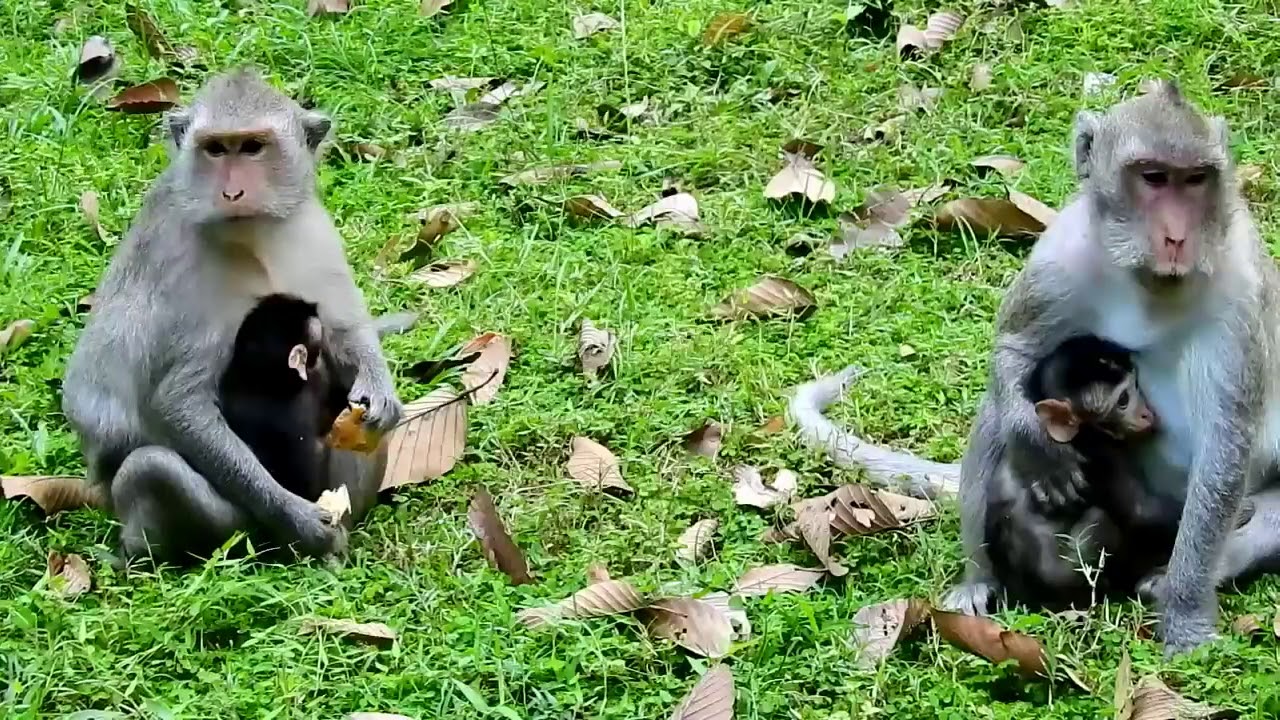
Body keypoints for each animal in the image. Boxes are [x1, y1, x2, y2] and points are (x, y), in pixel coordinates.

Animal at [793, 81, 1280, 655]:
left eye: (1196, 179)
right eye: (1154, 178)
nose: (1177, 237)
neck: (1150, 282)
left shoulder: (1240, 290)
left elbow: (1225, 446)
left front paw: (1186, 616)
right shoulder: (1062, 252)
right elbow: (1014, 350)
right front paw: (1036, 445)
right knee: (993, 416)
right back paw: (980, 578)